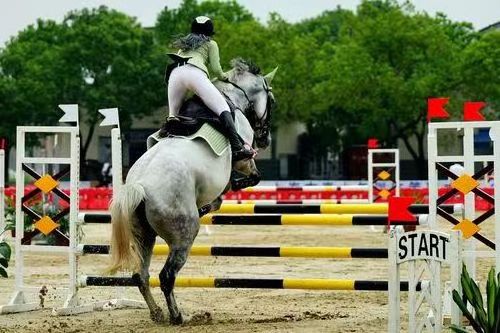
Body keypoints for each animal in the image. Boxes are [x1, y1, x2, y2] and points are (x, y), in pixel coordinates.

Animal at [107, 58, 278, 322]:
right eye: (272, 100)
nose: (265, 139)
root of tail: (140, 186)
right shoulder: (244, 159)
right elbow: (252, 177)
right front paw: (224, 192)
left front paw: (211, 203)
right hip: (183, 235)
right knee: (167, 276)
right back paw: (178, 316)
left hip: (143, 236)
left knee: (141, 275)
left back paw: (157, 313)